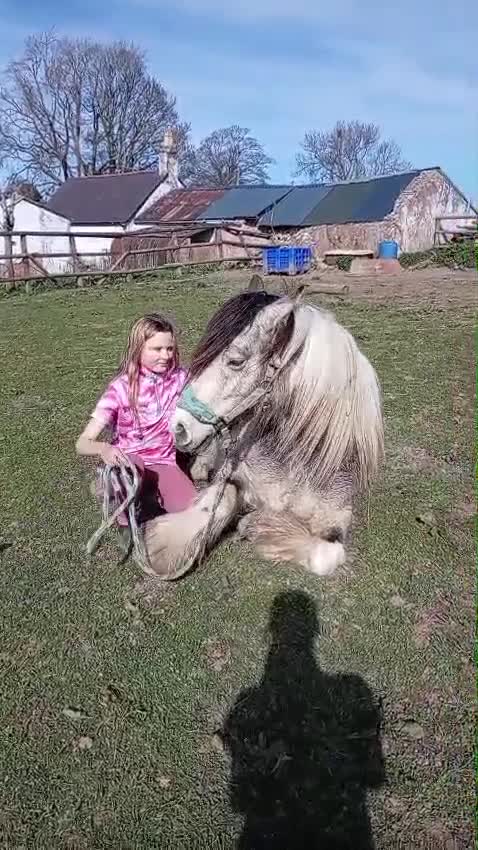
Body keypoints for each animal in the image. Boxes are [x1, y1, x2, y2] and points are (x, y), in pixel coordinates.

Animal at [142, 282, 384, 580]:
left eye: (236, 361)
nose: (178, 428)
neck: (297, 460)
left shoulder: (337, 516)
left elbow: (325, 556)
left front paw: (258, 525)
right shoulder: (233, 475)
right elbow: (222, 497)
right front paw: (165, 545)